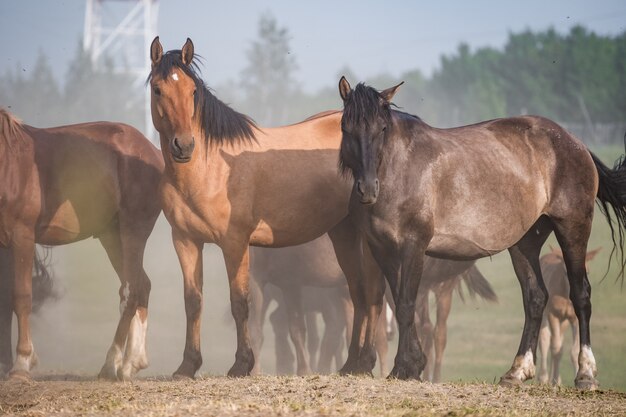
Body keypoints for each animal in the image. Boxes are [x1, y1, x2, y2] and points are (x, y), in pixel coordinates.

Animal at [0, 108, 163, 380]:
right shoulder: (4, 244)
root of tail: (153, 153)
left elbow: (21, 296)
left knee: (131, 291)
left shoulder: (22, 236)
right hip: (111, 237)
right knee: (143, 285)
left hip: (133, 231)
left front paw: (22, 364)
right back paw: (131, 362)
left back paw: (111, 364)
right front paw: (4, 365)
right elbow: (4, 298)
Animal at [336, 78, 624, 390]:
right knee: (535, 297)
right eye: (345, 128)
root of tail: (576, 143)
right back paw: (517, 371)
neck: (400, 171)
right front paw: (411, 364)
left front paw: (405, 367)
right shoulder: (383, 251)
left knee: (581, 294)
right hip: (525, 242)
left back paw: (586, 374)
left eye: (382, 128)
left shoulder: (414, 247)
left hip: (573, 227)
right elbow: (401, 304)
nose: (367, 189)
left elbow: (405, 304)